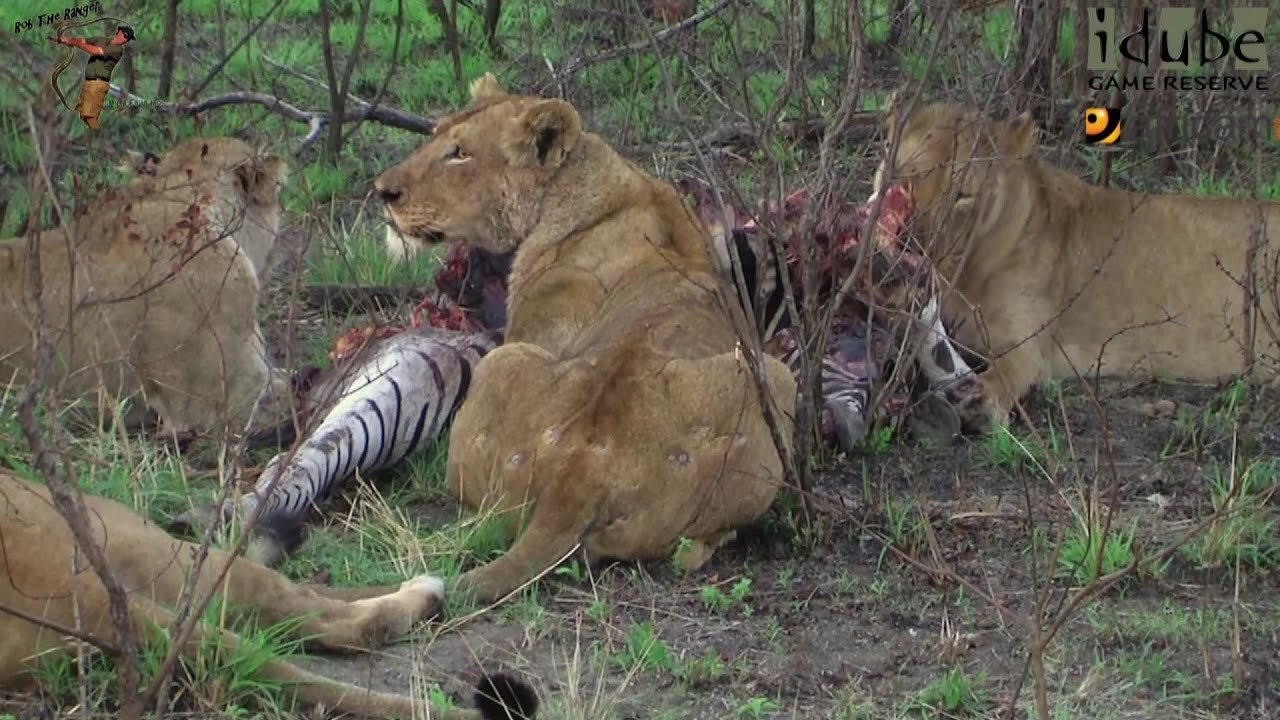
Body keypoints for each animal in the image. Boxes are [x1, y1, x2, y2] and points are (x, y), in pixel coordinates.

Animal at [870, 101, 1280, 425]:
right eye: (901, 177)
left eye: (962, 195)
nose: (910, 243)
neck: (963, 273)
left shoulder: (1029, 345)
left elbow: (1006, 373)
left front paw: (978, 401)